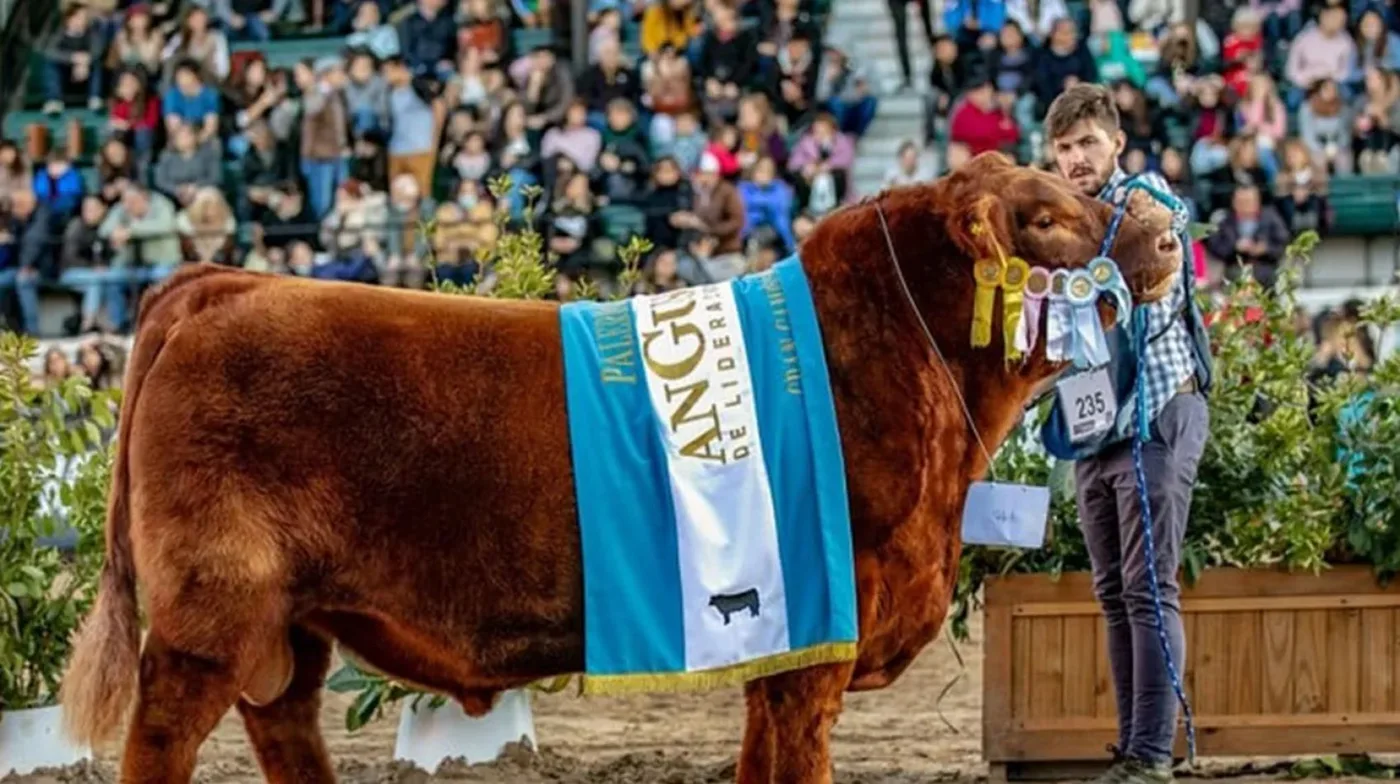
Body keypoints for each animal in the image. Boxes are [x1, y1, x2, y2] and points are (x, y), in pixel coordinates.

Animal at [63, 153, 1181, 784]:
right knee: (160, 739)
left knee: (284, 728)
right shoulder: (815, 649)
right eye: (1044, 215)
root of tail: (219, 282)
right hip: (209, 613)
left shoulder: (776, 646)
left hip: (284, 628)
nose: (1168, 230)